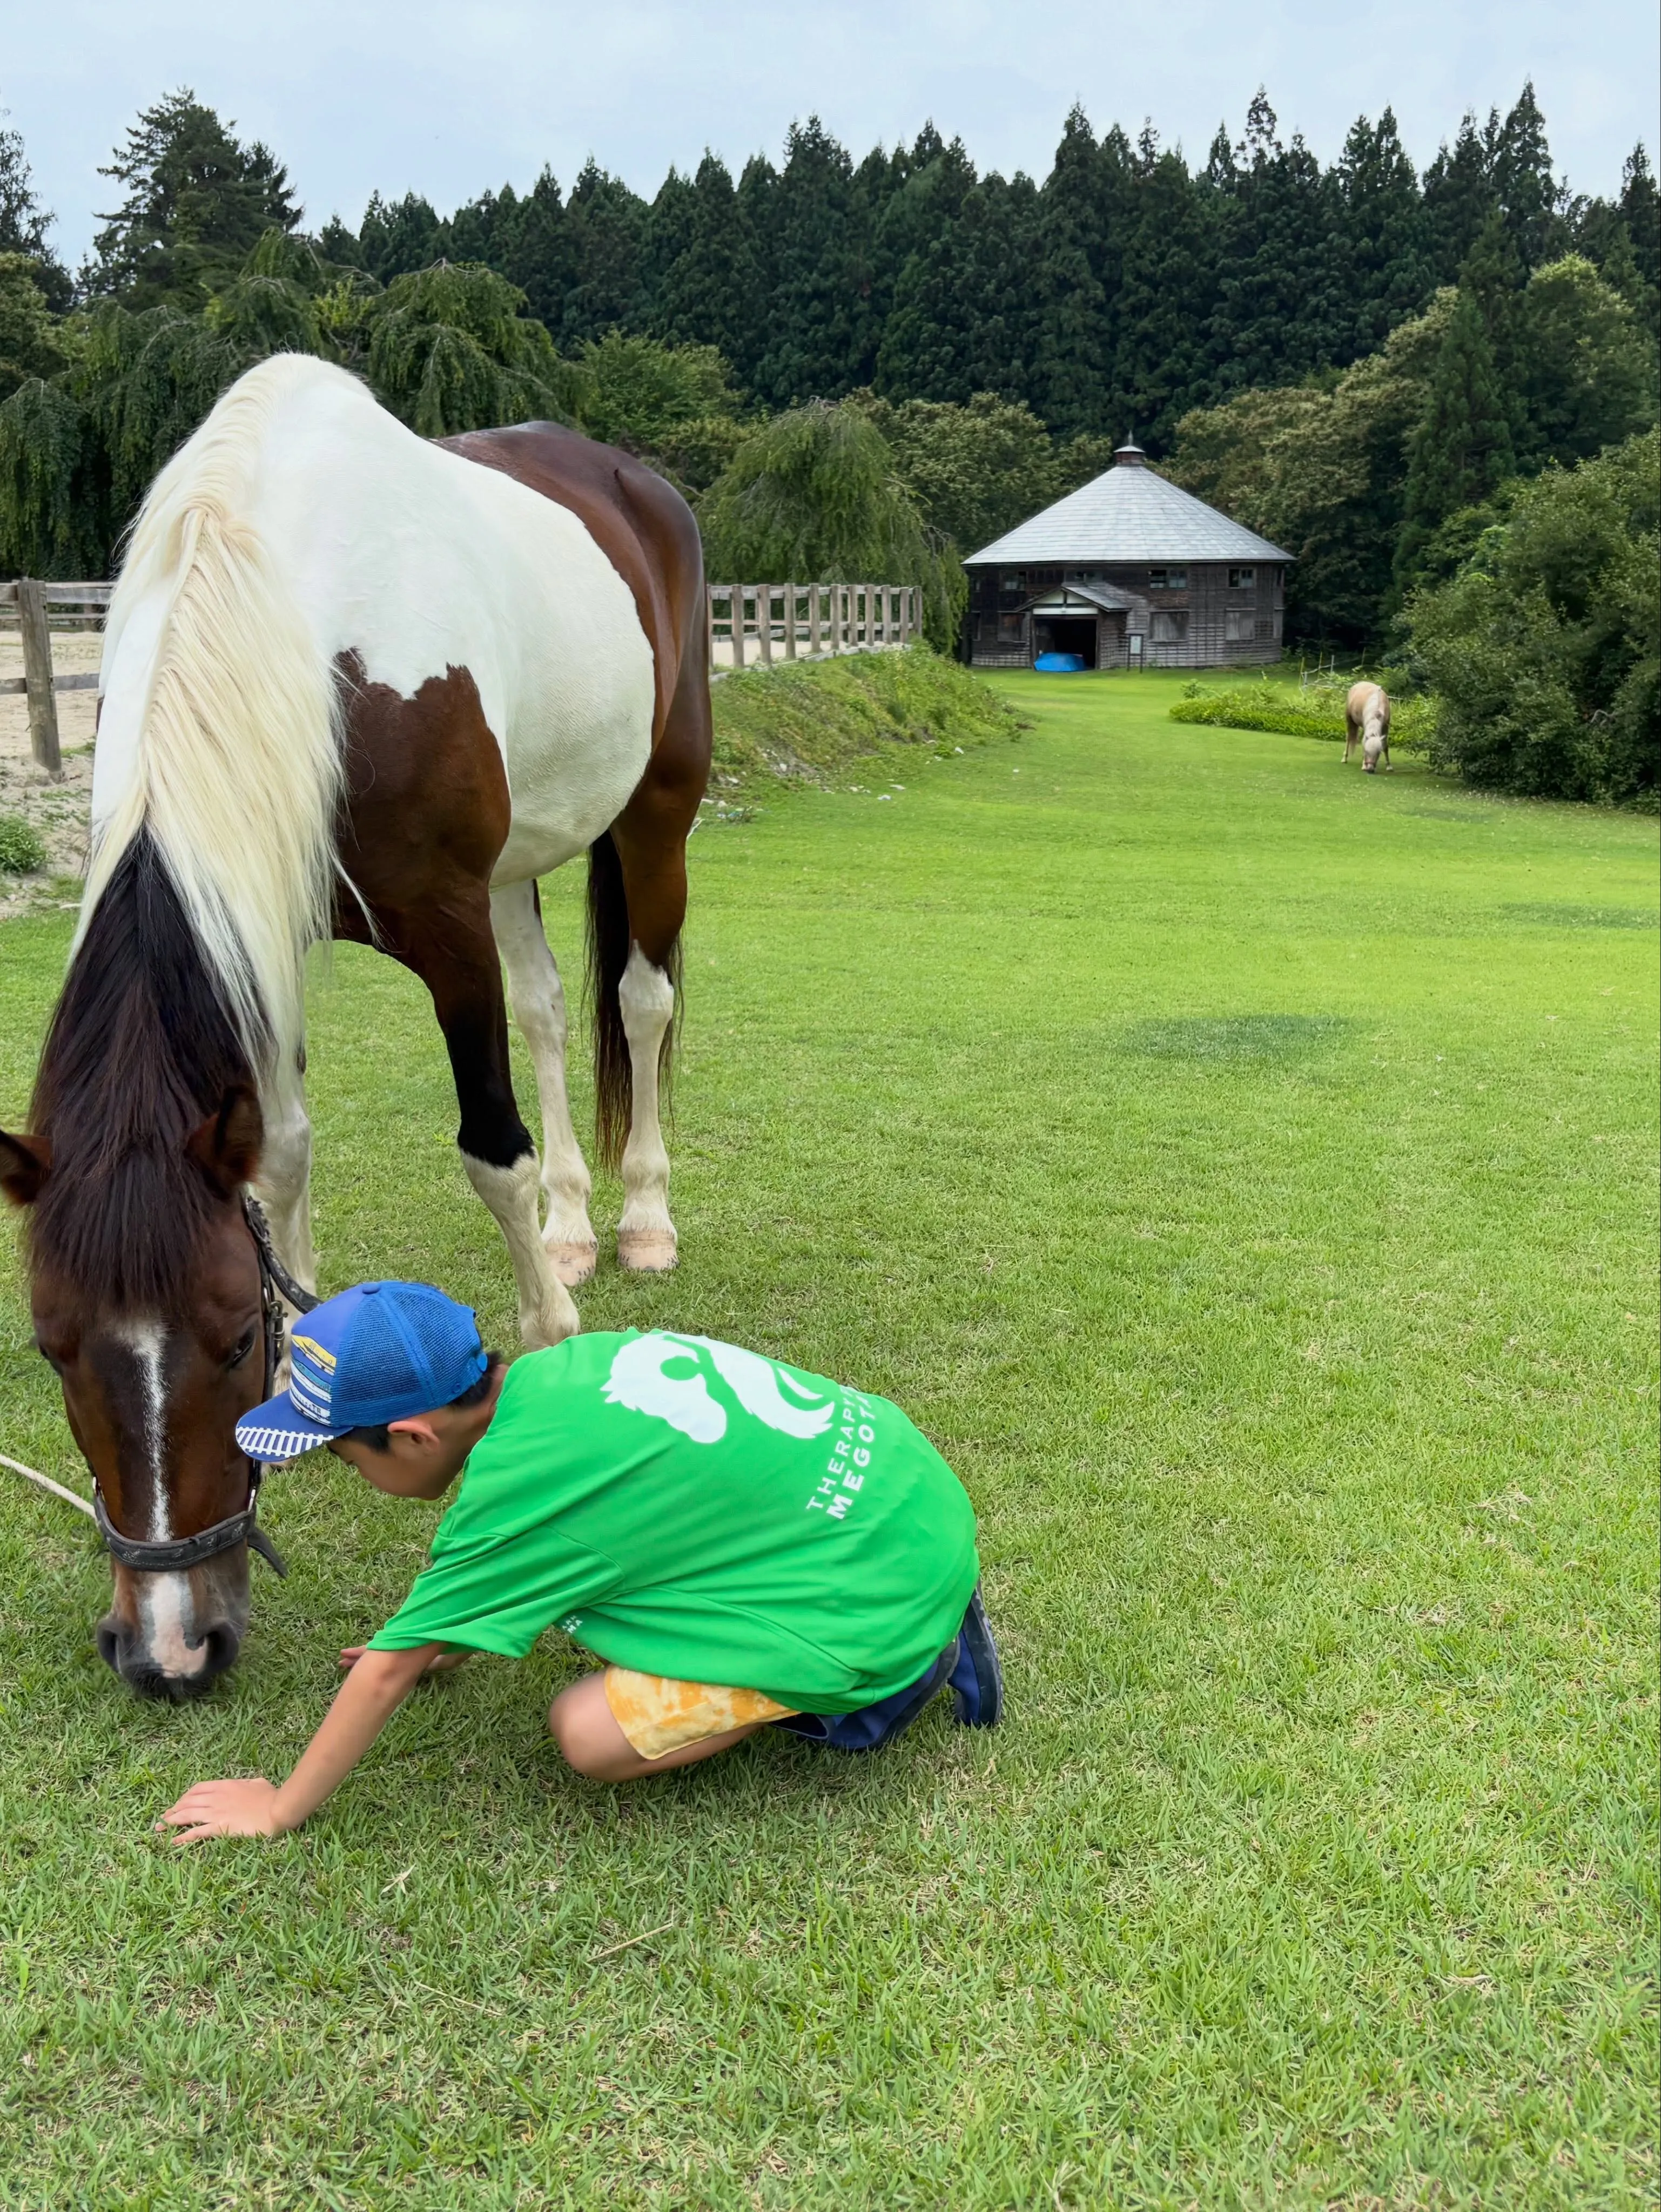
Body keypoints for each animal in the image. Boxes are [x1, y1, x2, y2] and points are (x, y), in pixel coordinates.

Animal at [0, 354, 710, 1698]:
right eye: (52, 1347)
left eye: (228, 1336)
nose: (168, 1649)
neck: (295, 620)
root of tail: (633, 478)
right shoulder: (265, 912)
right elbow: (278, 1150)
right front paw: (314, 1361)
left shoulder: (444, 924)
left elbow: (490, 1151)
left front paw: (544, 1338)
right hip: (520, 860)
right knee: (548, 1011)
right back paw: (574, 1227)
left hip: (656, 804)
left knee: (640, 1005)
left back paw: (641, 1219)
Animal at [1344, 681, 1392, 774]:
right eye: (1366, 751)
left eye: (1378, 753)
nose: (1370, 770)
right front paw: (1364, 766)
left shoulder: (1385, 728)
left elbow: (1385, 746)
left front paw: (1389, 766)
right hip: (1349, 721)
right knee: (1349, 739)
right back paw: (1344, 759)